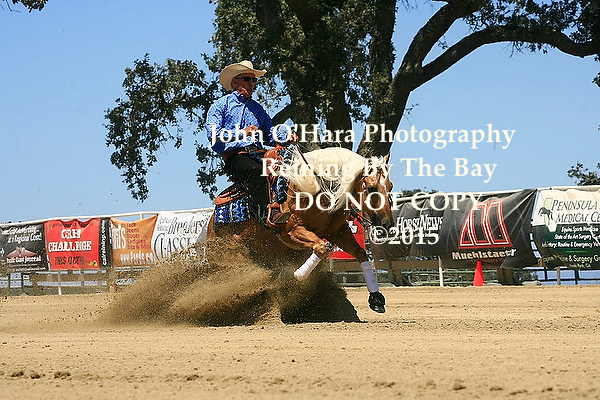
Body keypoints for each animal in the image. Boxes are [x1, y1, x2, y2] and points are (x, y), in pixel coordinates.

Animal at [207, 146, 394, 314]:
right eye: (370, 187)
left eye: (390, 186)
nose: (387, 224)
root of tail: (212, 221)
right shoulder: (293, 231)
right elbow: (320, 247)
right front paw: (295, 276)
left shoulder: (338, 232)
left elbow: (360, 253)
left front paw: (376, 299)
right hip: (233, 256)